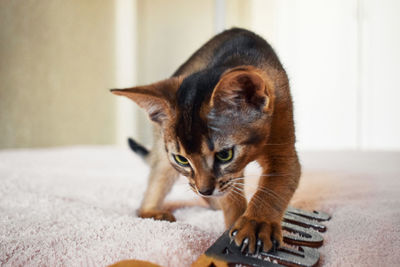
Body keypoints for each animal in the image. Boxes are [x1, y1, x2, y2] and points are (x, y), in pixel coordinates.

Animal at [111, 28, 298, 254]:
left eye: (225, 155)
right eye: (182, 159)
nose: (204, 190)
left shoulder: (283, 152)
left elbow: (273, 188)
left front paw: (257, 222)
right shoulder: (224, 178)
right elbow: (231, 200)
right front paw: (237, 226)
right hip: (164, 159)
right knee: (148, 195)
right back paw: (154, 211)